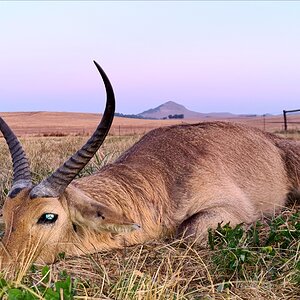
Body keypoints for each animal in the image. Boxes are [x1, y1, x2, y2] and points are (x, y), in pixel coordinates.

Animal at [0, 61, 300, 268]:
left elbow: (189, 233)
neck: (163, 178)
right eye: (6, 214)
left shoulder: (226, 208)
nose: (5, 266)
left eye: (48, 216)